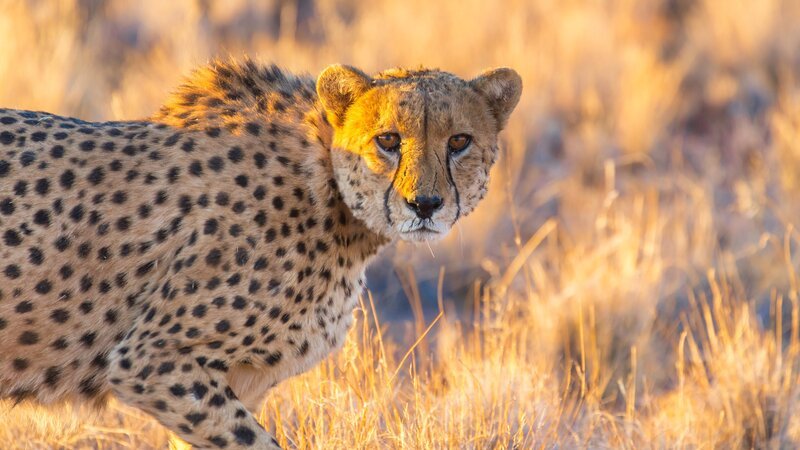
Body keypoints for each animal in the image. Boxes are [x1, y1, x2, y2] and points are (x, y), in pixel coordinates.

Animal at [0, 59, 522, 449]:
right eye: (388, 140)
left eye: (459, 141)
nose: (425, 204)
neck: (326, 186)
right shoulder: (151, 361)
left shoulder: (229, 383)